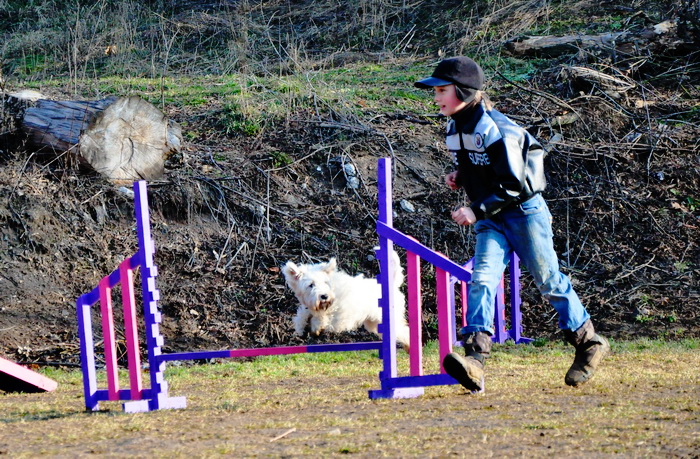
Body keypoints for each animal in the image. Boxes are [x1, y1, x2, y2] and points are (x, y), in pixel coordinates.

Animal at [282, 251, 411, 351]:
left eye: (325, 282)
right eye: (311, 285)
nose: (324, 296)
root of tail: (392, 284)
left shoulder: (336, 314)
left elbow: (321, 319)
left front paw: (315, 327)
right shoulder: (308, 308)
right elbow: (301, 316)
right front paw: (302, 328)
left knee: (405, 331)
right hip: (375, 323)